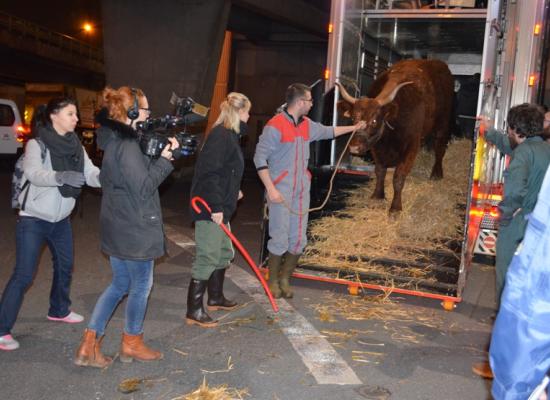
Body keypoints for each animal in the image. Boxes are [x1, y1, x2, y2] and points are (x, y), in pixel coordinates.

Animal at [338, 58, 454, 212]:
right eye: (353, 118)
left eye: (374, 120)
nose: (354, 147)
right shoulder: (377, 147)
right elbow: (380, 171)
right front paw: (377, 196)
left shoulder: (412, 145)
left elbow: (398, 177)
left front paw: (395, 207)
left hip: (443, 123)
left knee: (440, 148)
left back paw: (437, 173)